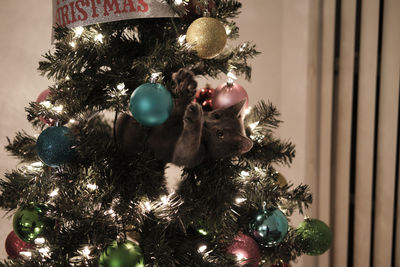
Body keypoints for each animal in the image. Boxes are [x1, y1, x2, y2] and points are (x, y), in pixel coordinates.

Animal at [115, 68, 253, 168]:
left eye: (220, 134)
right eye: (216, 115)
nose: (206, 124)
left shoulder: (192, 156)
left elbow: (187, 146)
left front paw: (195, 117)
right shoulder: (172, 119)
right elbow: (176, 107)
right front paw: (185, 83)